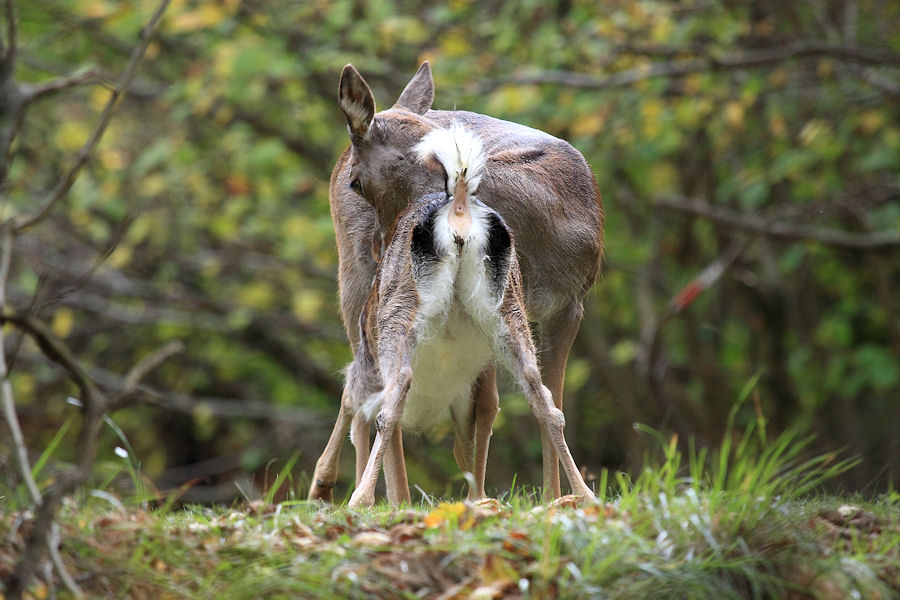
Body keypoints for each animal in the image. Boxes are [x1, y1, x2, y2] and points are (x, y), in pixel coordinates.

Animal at [310, 61, 604, 504]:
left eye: (356, 183)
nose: (383, 244)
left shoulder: (568, 305)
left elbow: (530, 398)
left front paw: (554, 495)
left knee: (380, 388)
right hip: (362, 281)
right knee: (366, 385)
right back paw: (368, 492)